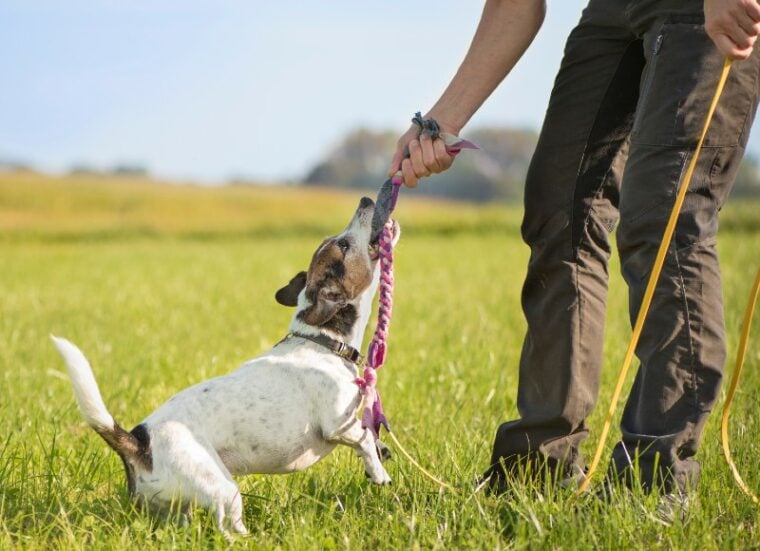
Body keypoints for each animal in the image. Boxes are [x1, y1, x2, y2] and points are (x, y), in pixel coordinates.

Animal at [52, 196, 394, 536]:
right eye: (344, 245)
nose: (366, 199)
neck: (322, 341)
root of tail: (139, 442)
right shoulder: (338, 425)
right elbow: (365, 438)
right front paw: (378, 472)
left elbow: (372, 437)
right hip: (223, 489)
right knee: (228, 528)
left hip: (176, 506)